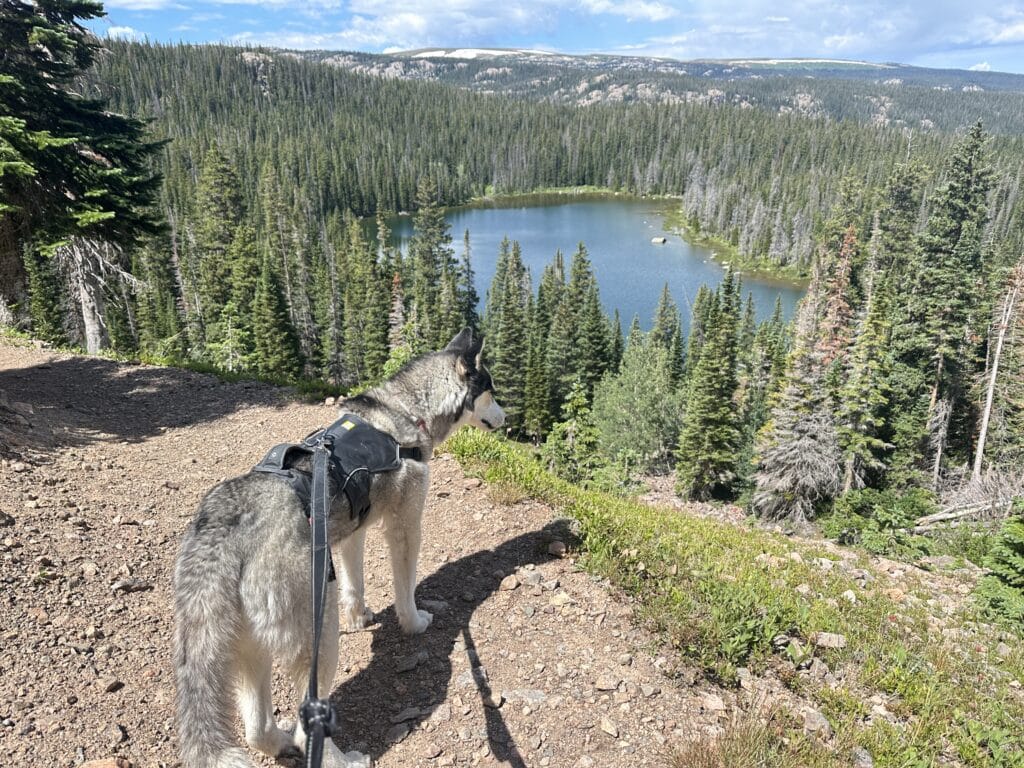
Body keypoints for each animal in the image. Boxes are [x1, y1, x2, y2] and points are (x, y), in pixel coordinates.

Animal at [174, 331, 505, 768]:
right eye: (491, 391)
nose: (507, 418)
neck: (406, 411)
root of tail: (220, 534)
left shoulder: (351, 536)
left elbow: (355, 583)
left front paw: (361, 615)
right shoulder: (405, 526)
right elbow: (405, 587)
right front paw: (414, 622)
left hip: (251, 647)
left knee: (257, 730)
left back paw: (278, 742)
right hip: (320, 632)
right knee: (306, 724)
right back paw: (344, 759)